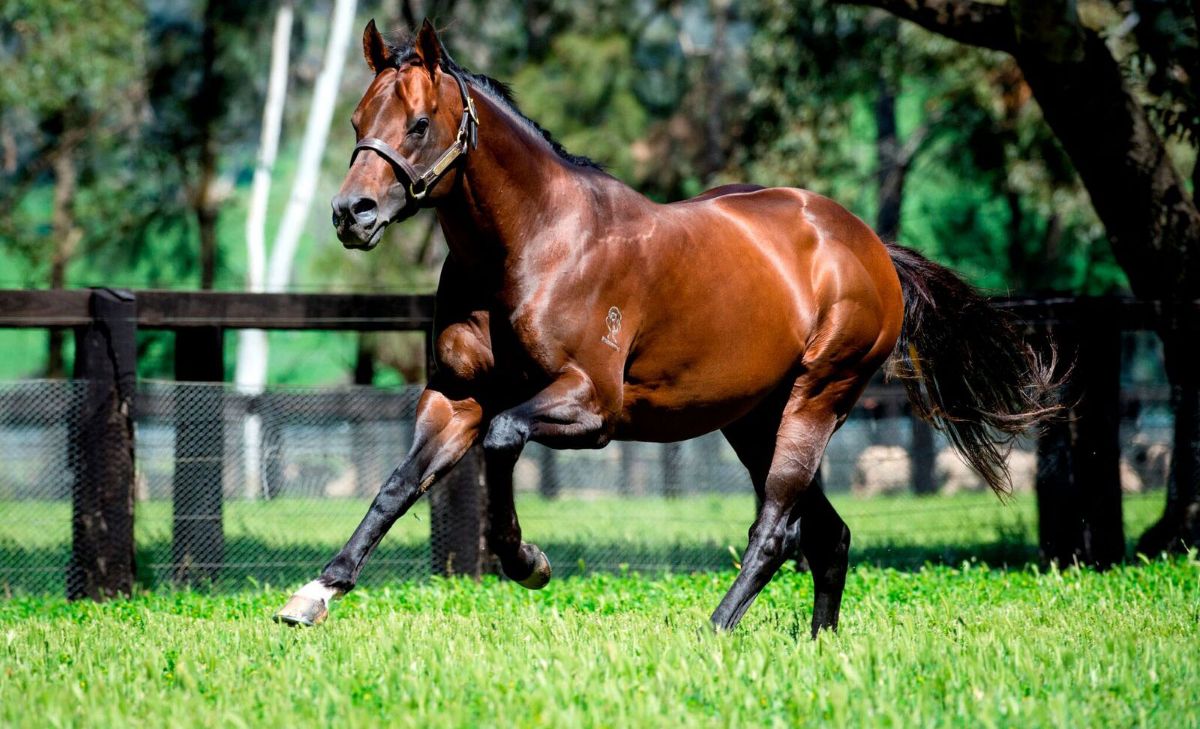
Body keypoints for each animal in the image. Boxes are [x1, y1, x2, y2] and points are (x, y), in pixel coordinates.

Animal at [275, 20, 1058, 635]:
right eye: (356, 122)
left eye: (417, 124)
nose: (352, 215)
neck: (536, 243)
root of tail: (867, 243)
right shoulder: (455, 398)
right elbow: (397, 486)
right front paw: (314, 595)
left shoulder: (591, 406)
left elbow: (501, 440)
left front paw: (528, 561)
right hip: (753, 418)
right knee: (828, 534)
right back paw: (817, 642)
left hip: (817, 399)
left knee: (777, 528)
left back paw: (714, 628)